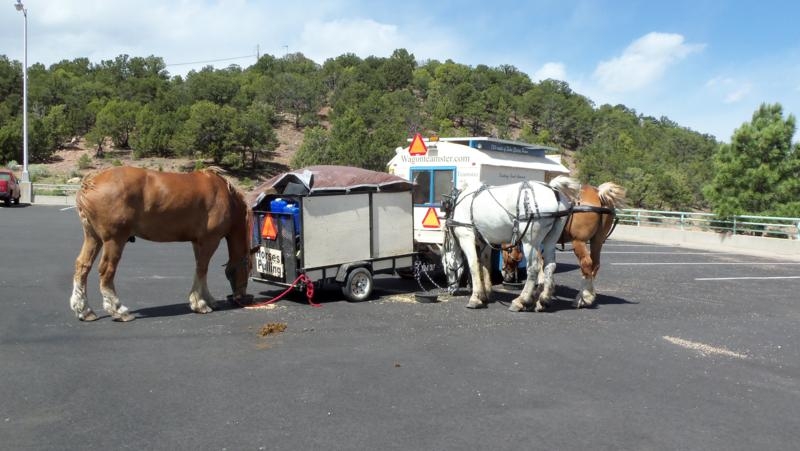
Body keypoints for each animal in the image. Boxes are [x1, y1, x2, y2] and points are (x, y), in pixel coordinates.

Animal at [72, 166, 255, 322]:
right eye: (247, 268)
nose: (241, 297)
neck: (225, 195)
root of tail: (91, 183)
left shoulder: (198, 242)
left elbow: (201, 270)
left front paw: (208, 299)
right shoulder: (210, 240)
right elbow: (202, 269)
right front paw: (200, 304)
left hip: (93, 237)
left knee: (82, 266)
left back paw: (84, 310)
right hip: (114, 240)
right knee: (106, 271)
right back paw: (119, 310)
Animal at [444, 177, 580, 314]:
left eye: (447, 267)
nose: (450, 290)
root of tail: (553, 190)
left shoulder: (466, 237)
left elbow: (474, 266)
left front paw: (476, 298)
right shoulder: (485, 242)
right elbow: (485, 266)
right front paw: (486, 294)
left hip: (530, 242)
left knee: (534, 268)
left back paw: (521, 300)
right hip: (550, 240)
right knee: (549, 266)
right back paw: (544, 300)